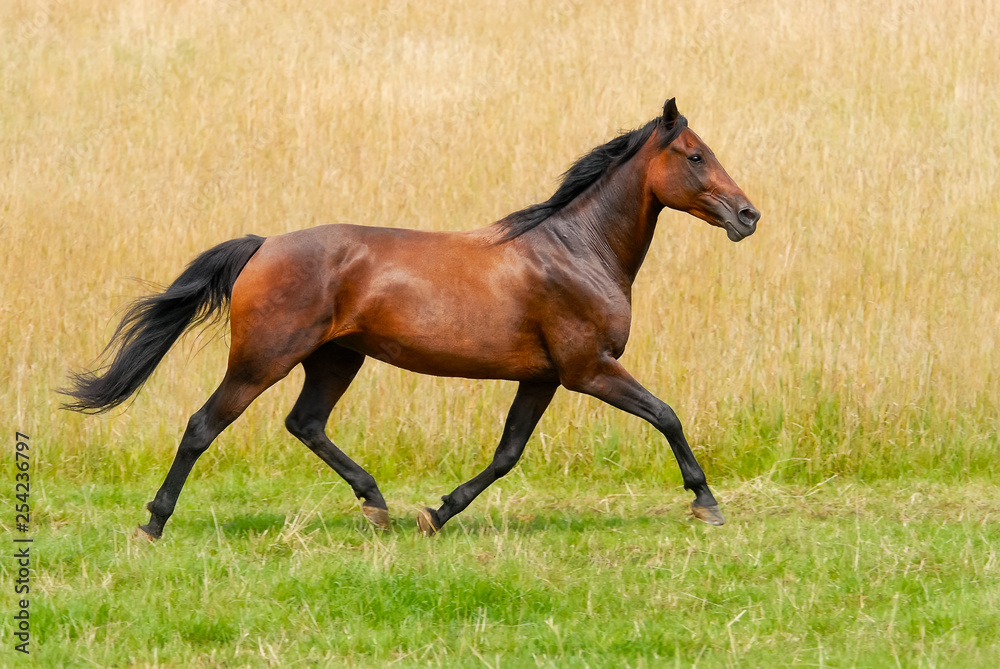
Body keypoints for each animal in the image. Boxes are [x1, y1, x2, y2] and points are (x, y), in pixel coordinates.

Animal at [62, 98, 756, 536]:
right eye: (695, 155)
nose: (748, 215)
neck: (578, 250)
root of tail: (263, 247)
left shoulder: (543, 377)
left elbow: (507, 454)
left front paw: (436, 513)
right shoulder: (589, 368)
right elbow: (666, 415)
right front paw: (707, 503)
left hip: (336, 358)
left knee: (305, 423)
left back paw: (377, 505)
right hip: (263, 359)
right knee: (203, 425)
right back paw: (153, 523)